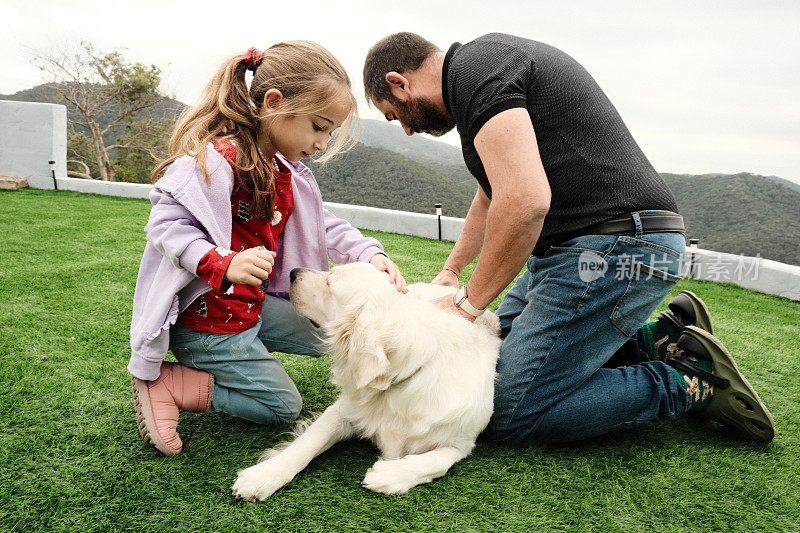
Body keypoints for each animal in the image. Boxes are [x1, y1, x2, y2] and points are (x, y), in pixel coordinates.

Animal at [228, 262, 500, 498]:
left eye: (330, 282)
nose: (293, 272)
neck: (394, 388)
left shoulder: (461, 443)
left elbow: (437, 461)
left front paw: (391, 475)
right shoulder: (342, 410)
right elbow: (308, 442)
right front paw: (264, 474)